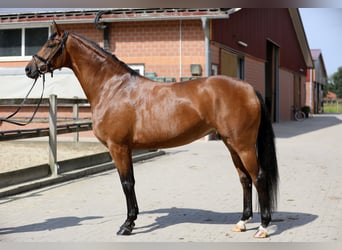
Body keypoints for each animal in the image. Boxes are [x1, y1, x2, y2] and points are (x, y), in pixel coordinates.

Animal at [26, 22, 278, 238]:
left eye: (50, 44)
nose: (29, 69)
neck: (113, 88)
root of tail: (249, 88)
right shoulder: (125, 149)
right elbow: (130, 182)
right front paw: (132, 220)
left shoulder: (118, 148)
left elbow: (126, 183)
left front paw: (127, 225)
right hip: (231, 144)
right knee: (244, 179)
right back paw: (242, 222)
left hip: (243, 145)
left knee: (258, 177)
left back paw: (263, 227)